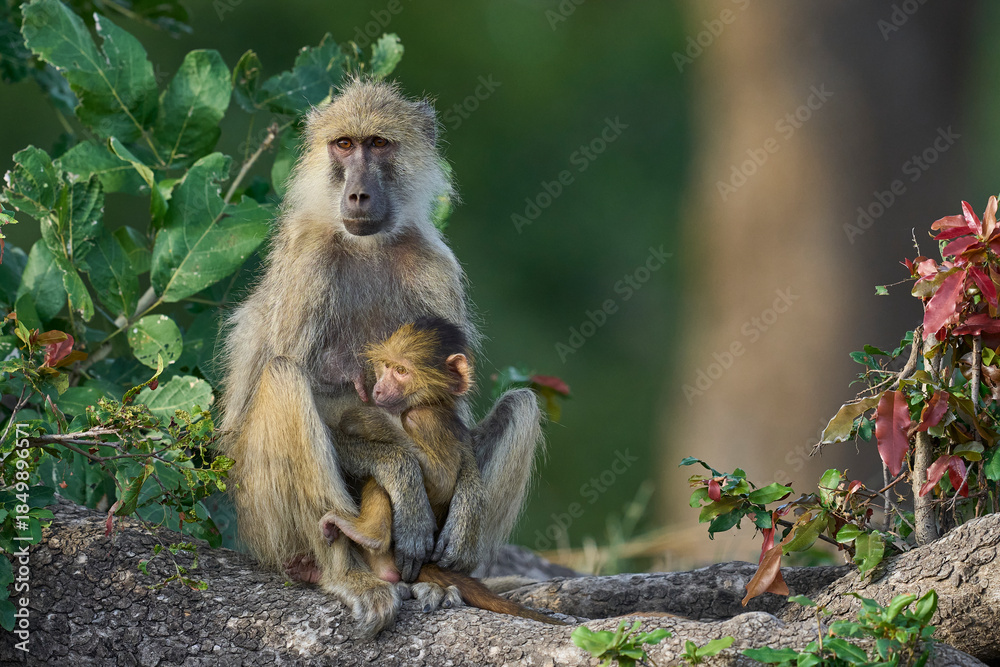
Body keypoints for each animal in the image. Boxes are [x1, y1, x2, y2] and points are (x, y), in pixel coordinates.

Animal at [318, 317, 564, 625]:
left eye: (401, 371)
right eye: (386, 366)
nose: (379, 389)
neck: (428, 402)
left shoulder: (423, 419)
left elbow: (438, 476)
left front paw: (364, 420)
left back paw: (369, 534)